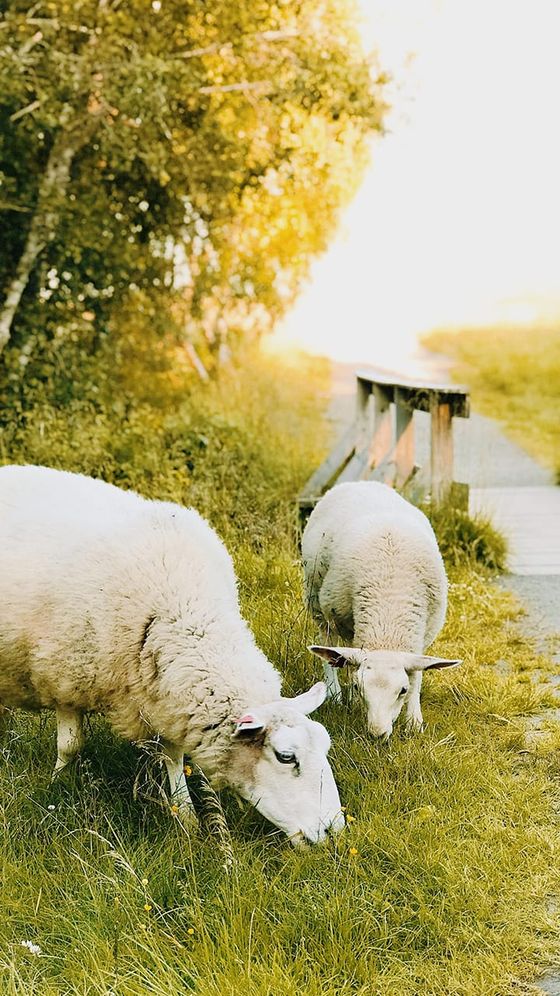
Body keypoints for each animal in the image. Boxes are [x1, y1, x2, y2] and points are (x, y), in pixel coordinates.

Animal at [0, 464, 345, 845]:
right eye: (286, 757)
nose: (334, 830)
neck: (185, 611)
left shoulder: (168, 697)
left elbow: (174, 758)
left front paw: (187, 815)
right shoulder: (66, 675)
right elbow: (70, 746)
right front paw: (57, 783)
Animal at [302, 481, 460, 737]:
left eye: (402, 690)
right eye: (360, 687)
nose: (377, 734)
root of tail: (360, 482)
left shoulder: (422, 636)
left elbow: (417, 673)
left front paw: (414, 721)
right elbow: (347, 660)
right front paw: (353, 699)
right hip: (317, 598)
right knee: (327, 641)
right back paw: (335, 693)